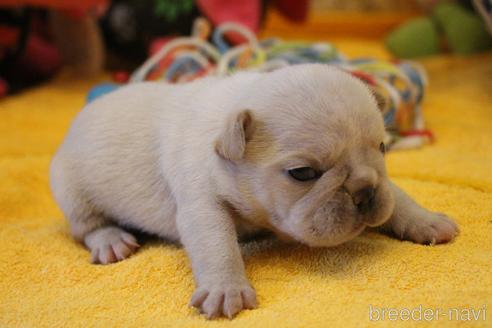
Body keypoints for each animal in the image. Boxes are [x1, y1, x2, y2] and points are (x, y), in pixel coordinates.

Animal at [50, 64, 458, 318]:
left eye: (383, 148)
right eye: (303, 173)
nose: (363, 192)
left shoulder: (382, 182)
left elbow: (398, 197)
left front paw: (426, 221)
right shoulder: (202, 204)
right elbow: (217, 245)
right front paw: (226, 288)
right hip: (70, 187)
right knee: (86, 225)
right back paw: (110, 240)